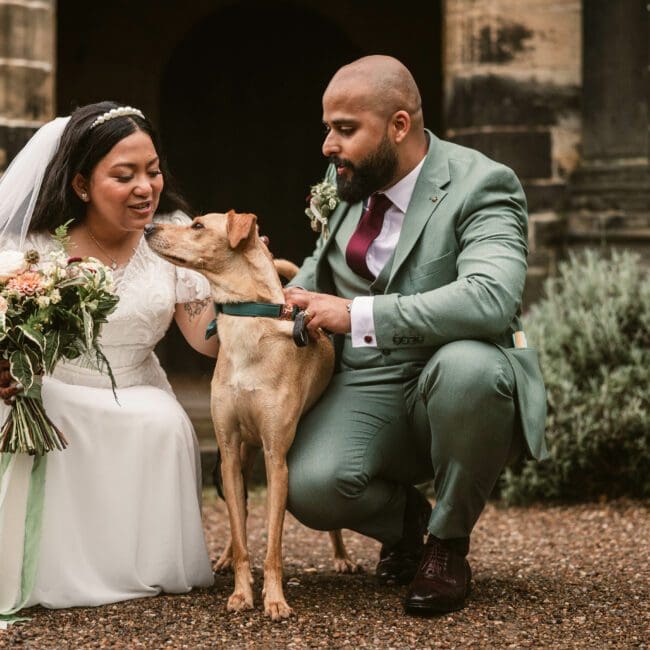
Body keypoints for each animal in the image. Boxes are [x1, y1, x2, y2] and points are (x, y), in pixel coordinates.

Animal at [145, 211, 356, 616]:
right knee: (237, 515)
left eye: (197, 226)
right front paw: (242, 592)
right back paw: (226, 557)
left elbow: (273, 545)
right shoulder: (227, 450)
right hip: (243, 455)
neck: (247, 322)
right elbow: (242, 535)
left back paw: (341, 555)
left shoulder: (277, 458)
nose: (148, 228)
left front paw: (274, 599)